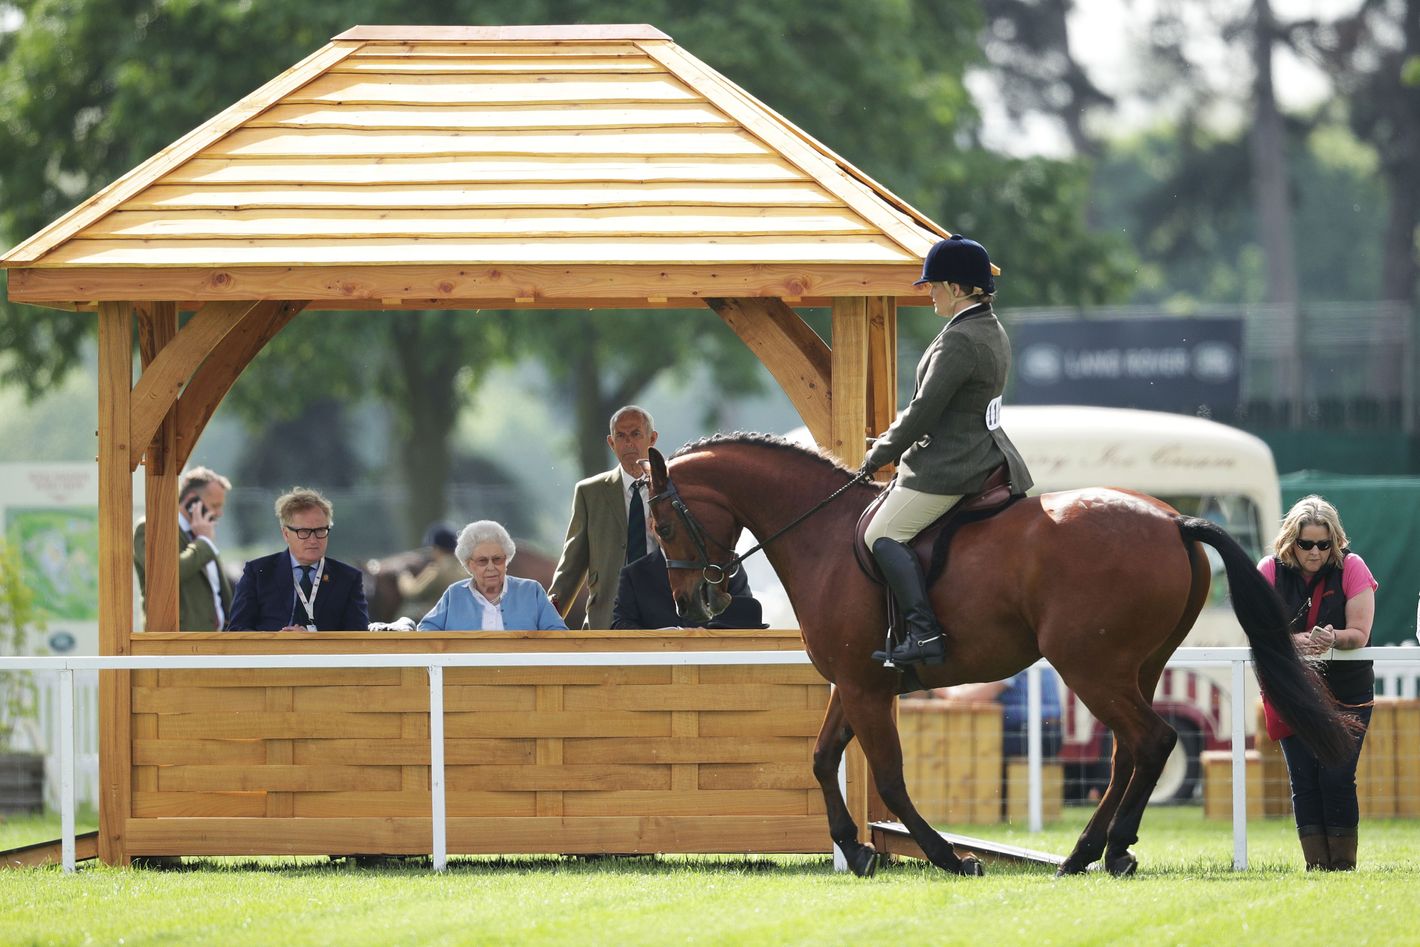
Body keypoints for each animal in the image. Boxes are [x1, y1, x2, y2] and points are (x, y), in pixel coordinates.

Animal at [644, 437, 1351, 880]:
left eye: (662, 524)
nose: (695, 604)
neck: (825, 536)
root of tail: (1174, 520)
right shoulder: (855, 682)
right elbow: (820, 761)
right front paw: (856, 849)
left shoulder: (866, 688)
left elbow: (891, 780)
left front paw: (951, 859)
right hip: (1136, 668)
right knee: (1128, 752)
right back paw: (1091, 852)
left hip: (1088, 667)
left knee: (1150, 742)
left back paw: (1105, 851)